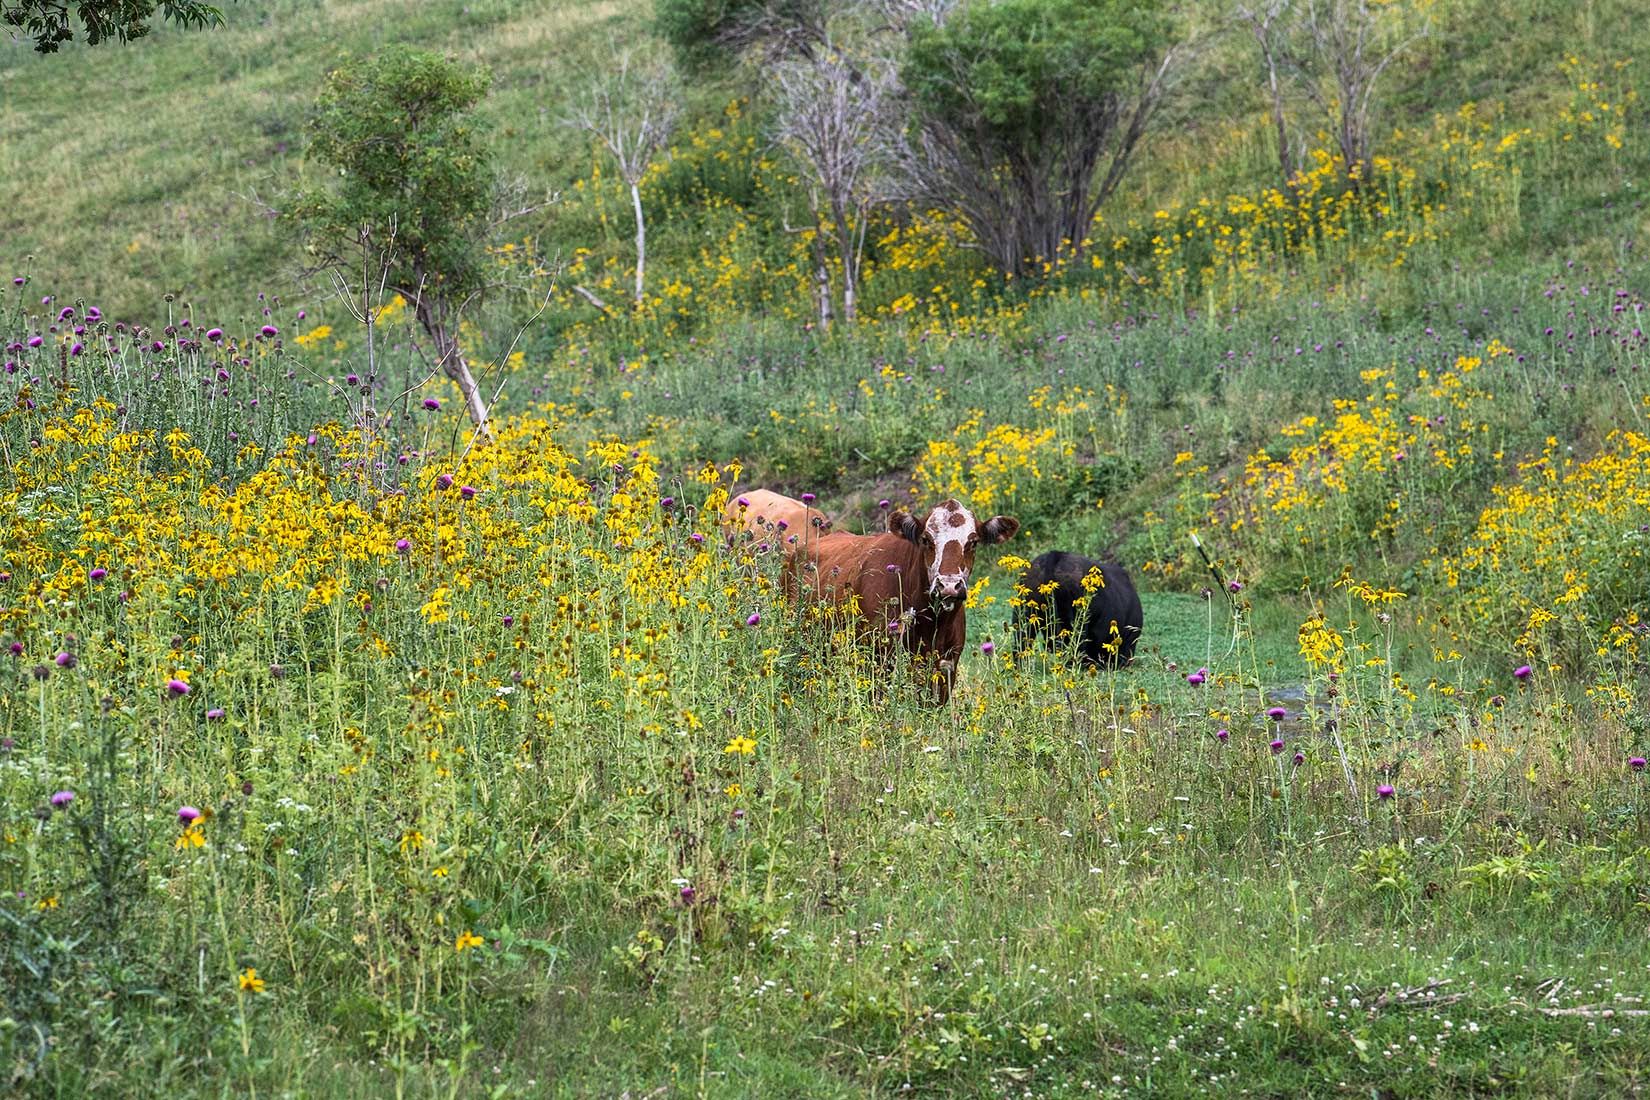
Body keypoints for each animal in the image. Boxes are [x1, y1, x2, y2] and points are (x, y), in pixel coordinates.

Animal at [791, 498, 1019, 704]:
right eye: (926, 539)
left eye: (973, 542)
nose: (948, 585)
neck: (932, 625)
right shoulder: (877, 662)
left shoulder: (947, 668)